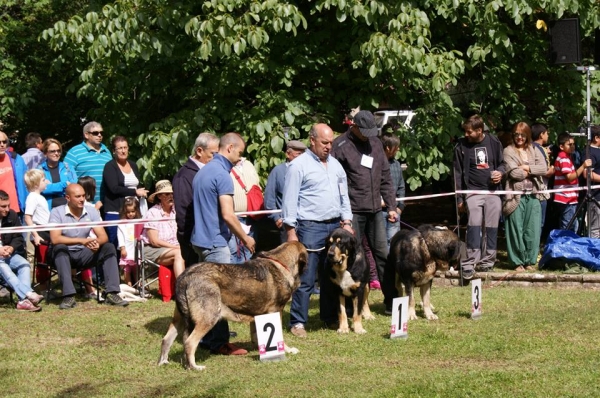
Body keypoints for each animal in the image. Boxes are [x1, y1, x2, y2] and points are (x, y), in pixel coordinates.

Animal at [157, 239, 308, 370]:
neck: (281, 264)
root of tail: (185, 277)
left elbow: (255, 334)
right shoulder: (276, 311)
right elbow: (279, 336)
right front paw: (287, 350)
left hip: (179, 319)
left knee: (166, 340)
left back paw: (163, 362)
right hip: (209, 318)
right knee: (189, 343)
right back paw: (195, 367)